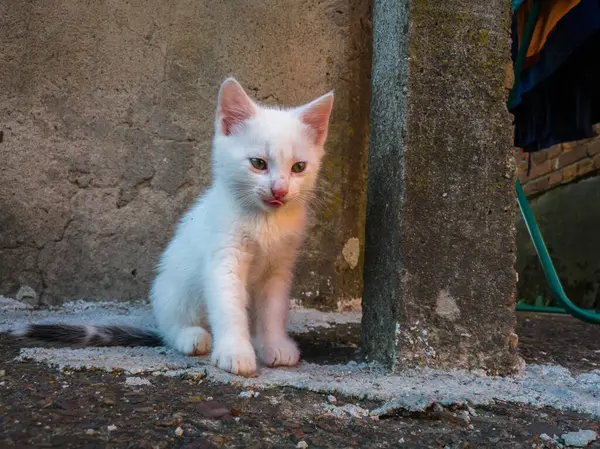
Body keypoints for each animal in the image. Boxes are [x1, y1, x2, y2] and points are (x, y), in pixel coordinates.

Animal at [12, 79, 332, 376]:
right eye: (258, 163)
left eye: (299, 168)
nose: (280, 190)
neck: (264, 221)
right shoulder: (223, 258)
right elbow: (228, 306)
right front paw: (235, 352)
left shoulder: (280, 267)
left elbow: (273, 309)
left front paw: (275, 344)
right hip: (172, 289)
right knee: (171, 329)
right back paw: (192, 337)